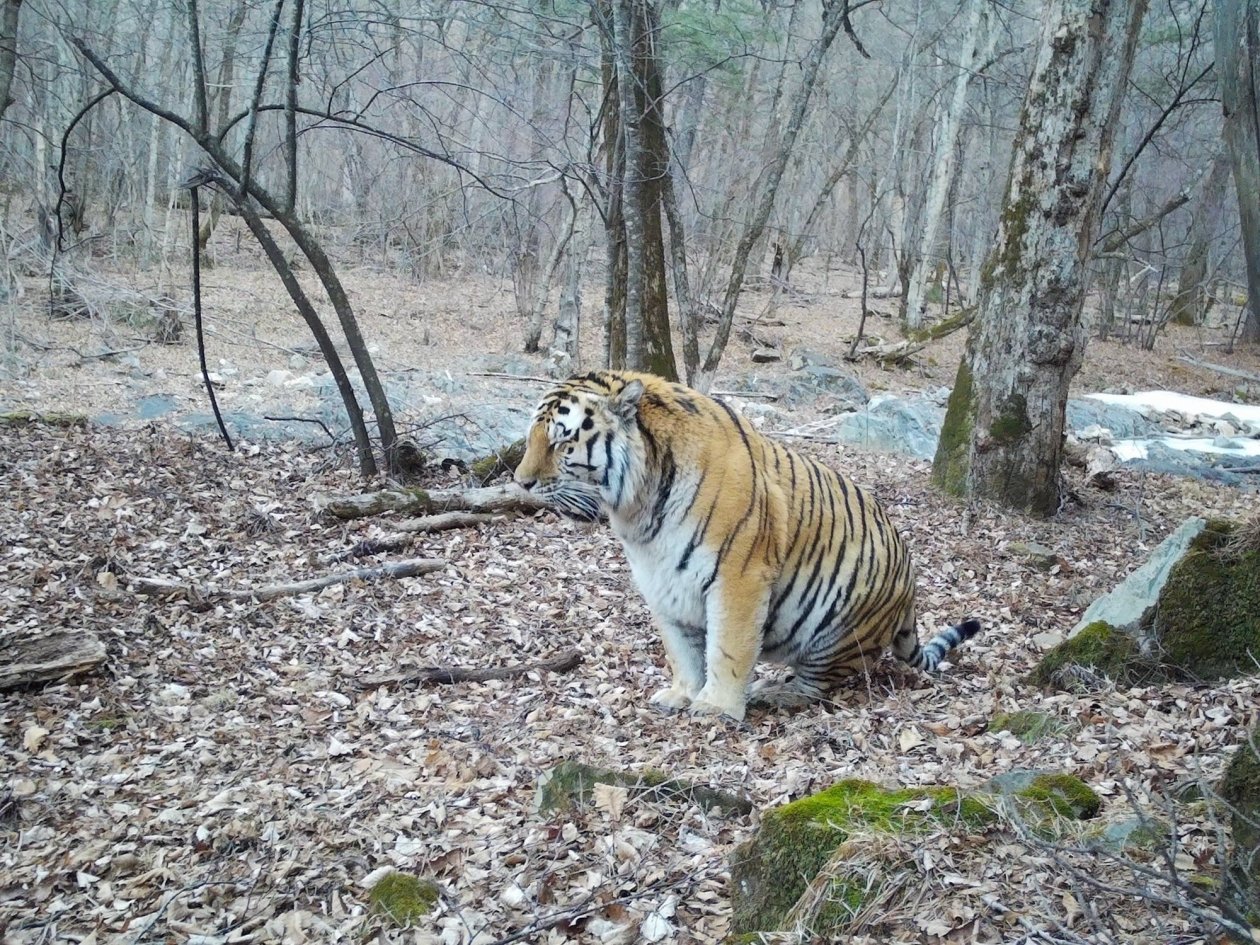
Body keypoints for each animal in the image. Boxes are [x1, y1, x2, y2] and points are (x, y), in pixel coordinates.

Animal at [514, 370, 980, 721]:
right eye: (531, 437)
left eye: (561, 440)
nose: (521, 482)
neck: (638, 510)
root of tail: (910, 593)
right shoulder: (661, 582)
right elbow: (680, 650)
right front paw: (682, 694)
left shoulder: (739, 578)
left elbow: (728, 648)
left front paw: (717, 708)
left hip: (834, 627)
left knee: (821, 684)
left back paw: (774, 691)